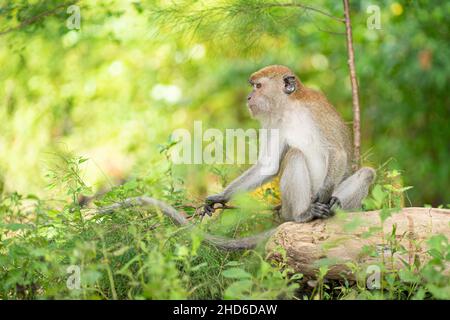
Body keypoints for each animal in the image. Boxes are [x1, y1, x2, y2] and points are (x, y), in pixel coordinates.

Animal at [99, 64, 376, 250]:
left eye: (258, 86)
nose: (249, 97)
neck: (289, 108)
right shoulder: (273, 122)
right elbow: (268, 165)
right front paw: (220, 197)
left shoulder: (315, 111)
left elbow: (338, 152)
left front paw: (323, 197)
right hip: (287, 207)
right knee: (295, 156)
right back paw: (302, 215)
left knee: (365, 173)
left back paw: (332, 210)